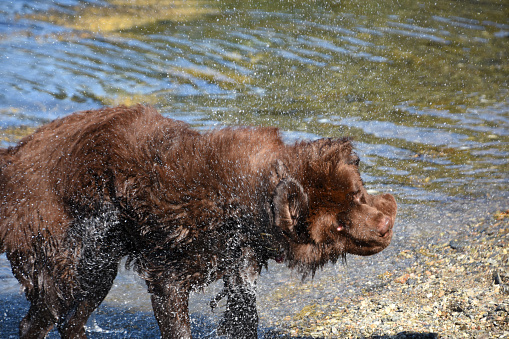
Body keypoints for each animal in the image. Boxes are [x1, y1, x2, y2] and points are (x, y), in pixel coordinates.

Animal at [0, 105, 394, 338]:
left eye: (357, 194)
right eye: (338, 225)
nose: (384, 227)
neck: (242, 204)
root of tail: (13, 157)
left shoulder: (239, 264)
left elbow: (243, 313)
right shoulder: (167, 273)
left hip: (99, 263)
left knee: (74, 316)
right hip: (55, 247)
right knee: (43, 312)